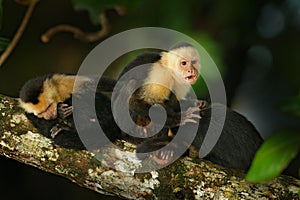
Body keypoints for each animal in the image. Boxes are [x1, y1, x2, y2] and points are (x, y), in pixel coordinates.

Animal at [115, 42, 262, 170]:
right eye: (184, 63)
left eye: (194, 62)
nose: (191, 70)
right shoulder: (161, 75)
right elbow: (139, 102)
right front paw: (180, 119)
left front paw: (198, 104)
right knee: (131, 86)